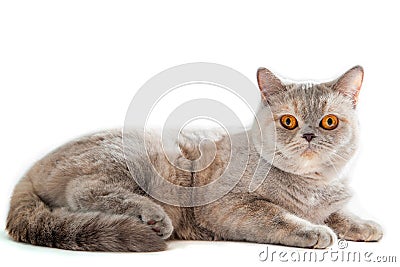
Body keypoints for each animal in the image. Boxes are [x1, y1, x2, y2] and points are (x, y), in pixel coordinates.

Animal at [5, 66, 382, 252]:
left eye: (329, 121)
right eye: (288, 121)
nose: (308, 135)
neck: (311, 186)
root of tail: (31, 168)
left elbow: (339, 214)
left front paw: (364, 225)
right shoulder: (231, 205)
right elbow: (278, 216)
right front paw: (314, 231)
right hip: (140, 158)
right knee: (83, 193)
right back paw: (153, 218)